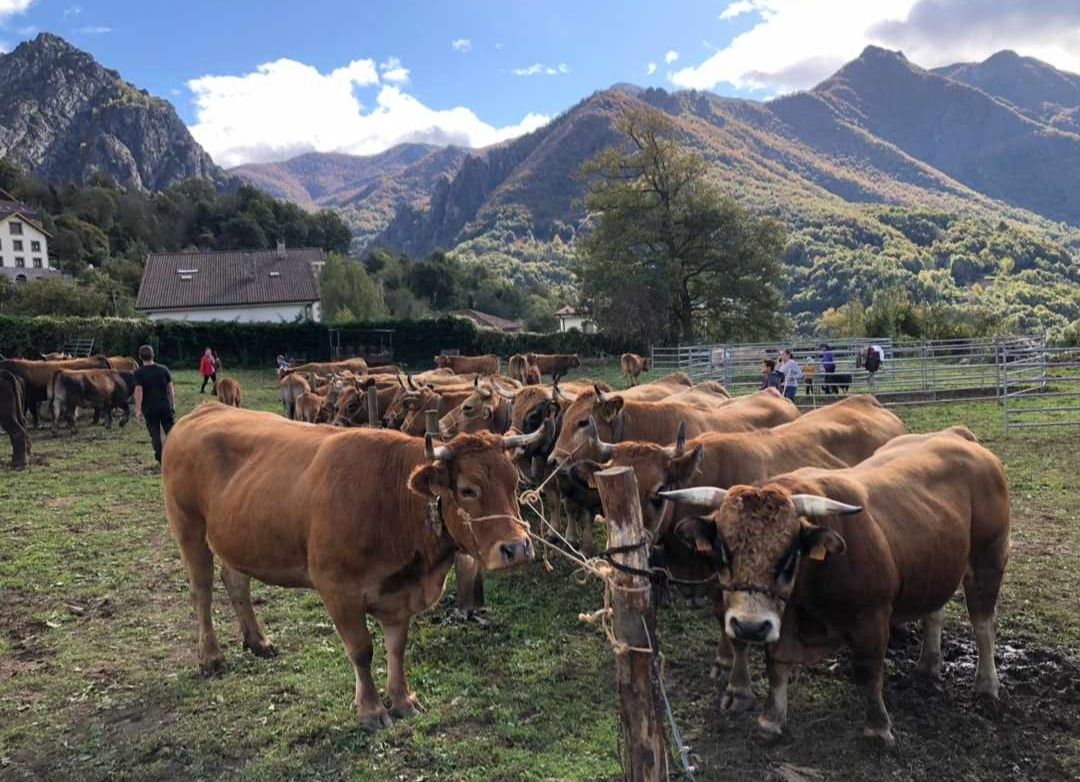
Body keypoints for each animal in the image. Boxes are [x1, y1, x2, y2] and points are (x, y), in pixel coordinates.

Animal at [162, 406, 540, 730]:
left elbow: (396, 647)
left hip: (238, 536)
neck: (389, 499)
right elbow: (361, 650)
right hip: (188, 527)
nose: (517, 548)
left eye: (515, 483)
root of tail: (203, 411)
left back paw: (258, 641)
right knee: (201, 591)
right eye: (467, 489)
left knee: (235, 580)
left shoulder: (400, 594)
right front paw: (371, 710)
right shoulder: (337, 589)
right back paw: (211, 656)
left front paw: (402, 700)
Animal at [656, 427, 1010, 747]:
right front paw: (771, 719)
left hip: (988, 560)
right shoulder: (779, 621)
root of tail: (957, 435)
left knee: (983, 624)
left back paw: (986, 684)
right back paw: (928, 664)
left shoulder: (872, 618)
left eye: (790, 555)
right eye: (722, 550)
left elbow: (868, 671)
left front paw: (878, 727)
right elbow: (776, 666)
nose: (750, 627)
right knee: (934, 613)